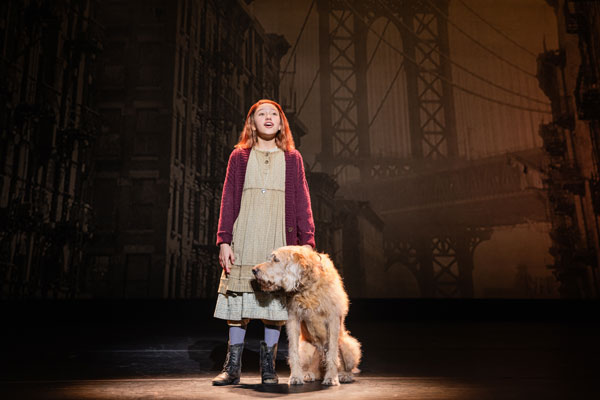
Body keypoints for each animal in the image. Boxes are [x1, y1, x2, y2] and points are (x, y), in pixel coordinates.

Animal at [252, 245, 360, 386]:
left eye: (276, 260)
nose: (254, 270)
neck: (308, 287)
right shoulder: (293, 319)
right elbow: (293, 351)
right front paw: (295, 376)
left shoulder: (333, 319)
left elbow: (332, 352)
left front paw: (331, 377)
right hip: (305, 348)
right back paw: (307, 374)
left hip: (349, 346)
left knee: (346, 364)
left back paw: (344, 375)